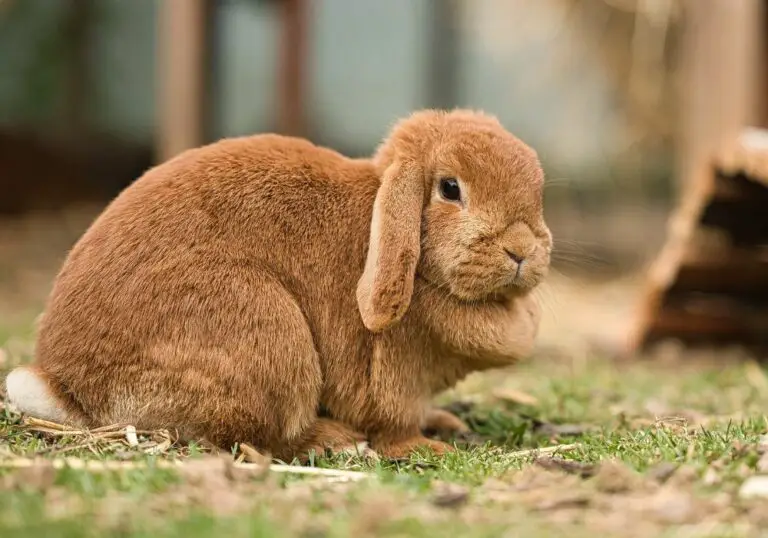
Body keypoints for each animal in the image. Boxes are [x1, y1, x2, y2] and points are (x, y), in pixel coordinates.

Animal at [5, 109, 551, 461]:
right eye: (450, 189)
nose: (522, 250)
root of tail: (67, 388)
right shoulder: (393, 376)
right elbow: (393, 422)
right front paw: (425, 447)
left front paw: (445, 423)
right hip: (268, 337)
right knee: (257, 439)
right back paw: (335, 440)